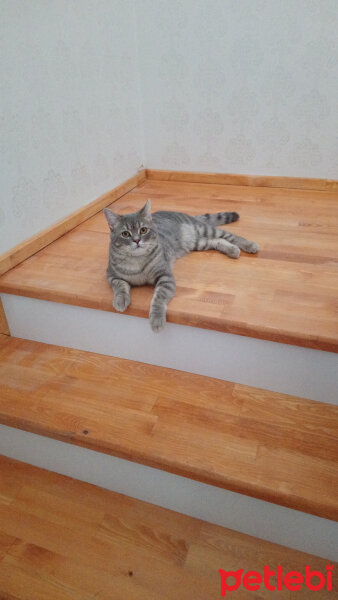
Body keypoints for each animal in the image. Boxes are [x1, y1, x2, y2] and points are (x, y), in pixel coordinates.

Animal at [103, 200, 258, 332]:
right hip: (198, 243)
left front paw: (157, 319)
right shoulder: (111, 275)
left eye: (143, 230)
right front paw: (120, 300)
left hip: (204, 229)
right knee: (216, 241)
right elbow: (120, 285)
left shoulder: (165, 276)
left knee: (230, 236)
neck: (137, 261)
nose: (136, 240)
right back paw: (232, 250)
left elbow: (159, 297)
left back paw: (249, 245)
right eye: (125, 234)